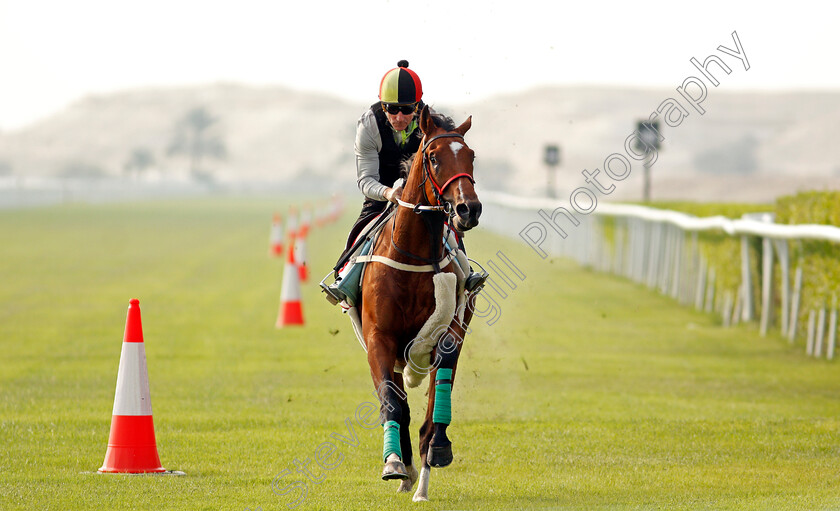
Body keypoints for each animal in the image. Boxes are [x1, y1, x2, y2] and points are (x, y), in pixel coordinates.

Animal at [360, 105, 482, 504]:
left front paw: (432, 463)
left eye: (471, 156)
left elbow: (434, 415)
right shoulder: (379, 338)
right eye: (433, 157)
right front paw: (394, 464)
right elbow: (392, 402)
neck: (412, 255)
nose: (469, 208)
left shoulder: (450, 334)